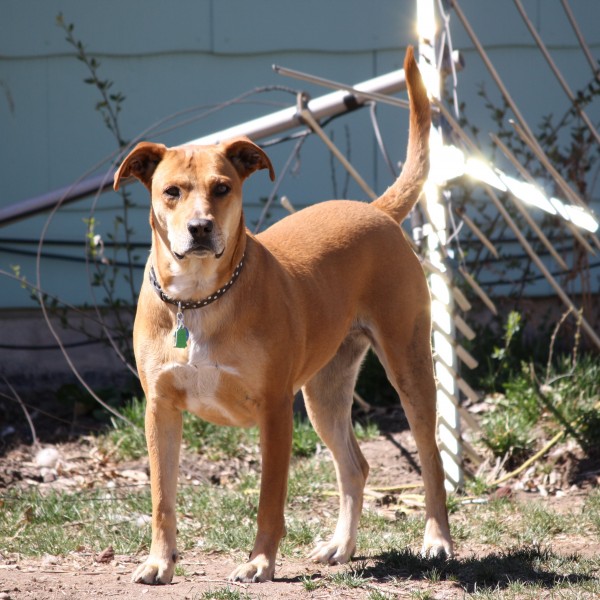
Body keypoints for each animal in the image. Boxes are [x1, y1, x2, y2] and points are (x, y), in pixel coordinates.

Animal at [112, 48, 452, 584]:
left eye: (223, 188)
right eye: (171, 191)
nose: (200, 228)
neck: (200, 299)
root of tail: (376, 210)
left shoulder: (274, 409)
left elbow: (269, 499)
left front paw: (259, 563)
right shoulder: (160, 408)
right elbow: (163, 498)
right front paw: (159, 563)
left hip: (409, 365)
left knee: (432, 457)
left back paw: (437, 540)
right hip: (325, 391)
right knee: (355, 466)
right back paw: (341, 546)